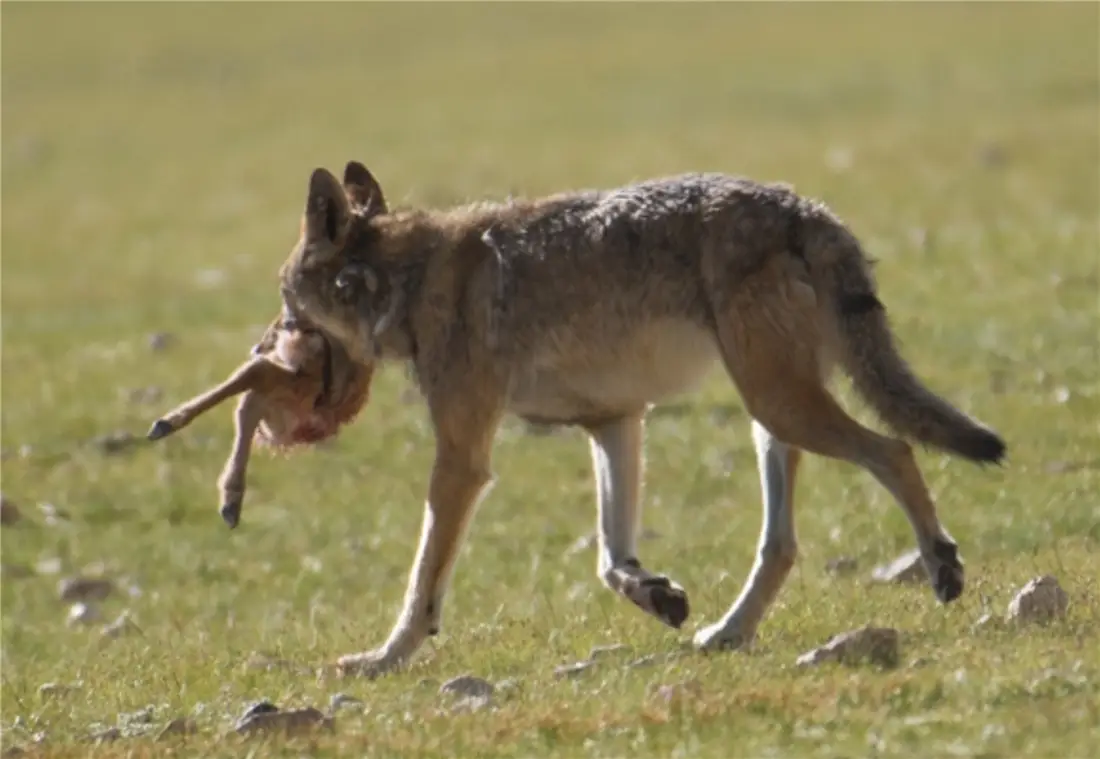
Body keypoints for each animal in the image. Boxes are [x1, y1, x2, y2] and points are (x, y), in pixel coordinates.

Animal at [275, 159, 1007, 673]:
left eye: (285, 302)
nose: (268, 343)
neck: (410, 279)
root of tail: (804, 210)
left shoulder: (462, 460)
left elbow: (422, 580)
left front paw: (382, 659)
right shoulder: (616, 421)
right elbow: (610, 557)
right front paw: (658, 595)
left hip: (782, 407)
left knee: (895, 451)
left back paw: (941, 565)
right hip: (771, 420)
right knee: (783, 542)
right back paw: (729, 631)